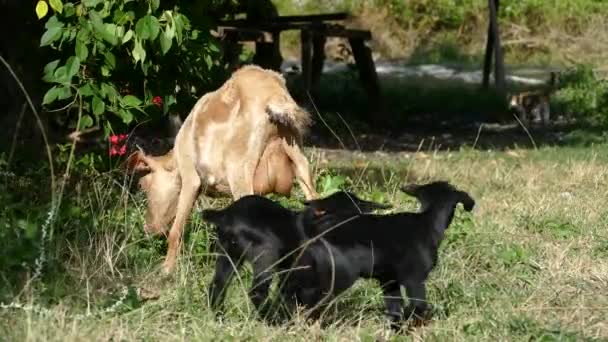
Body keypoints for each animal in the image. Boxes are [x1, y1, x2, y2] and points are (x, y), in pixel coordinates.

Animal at [126, 64, 320, 274]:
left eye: (144, 184)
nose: (148, 229)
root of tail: (274, 94)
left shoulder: (191, 179)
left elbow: (176, 231)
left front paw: (166, 270)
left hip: (240, 172)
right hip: (299, 159)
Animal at [200, 191, 390, 316]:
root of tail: (227, 215)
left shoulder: (291, 272)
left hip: (228, 254)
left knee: (218, 285)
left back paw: (218, 316)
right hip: (266, 255)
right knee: (257, 291)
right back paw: (270, 319)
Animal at [298, 180, 476, 328]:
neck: (428, 221)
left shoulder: (389, 282)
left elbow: (394, 309)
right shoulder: (415, 279)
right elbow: (418, 306)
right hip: (339, 277)